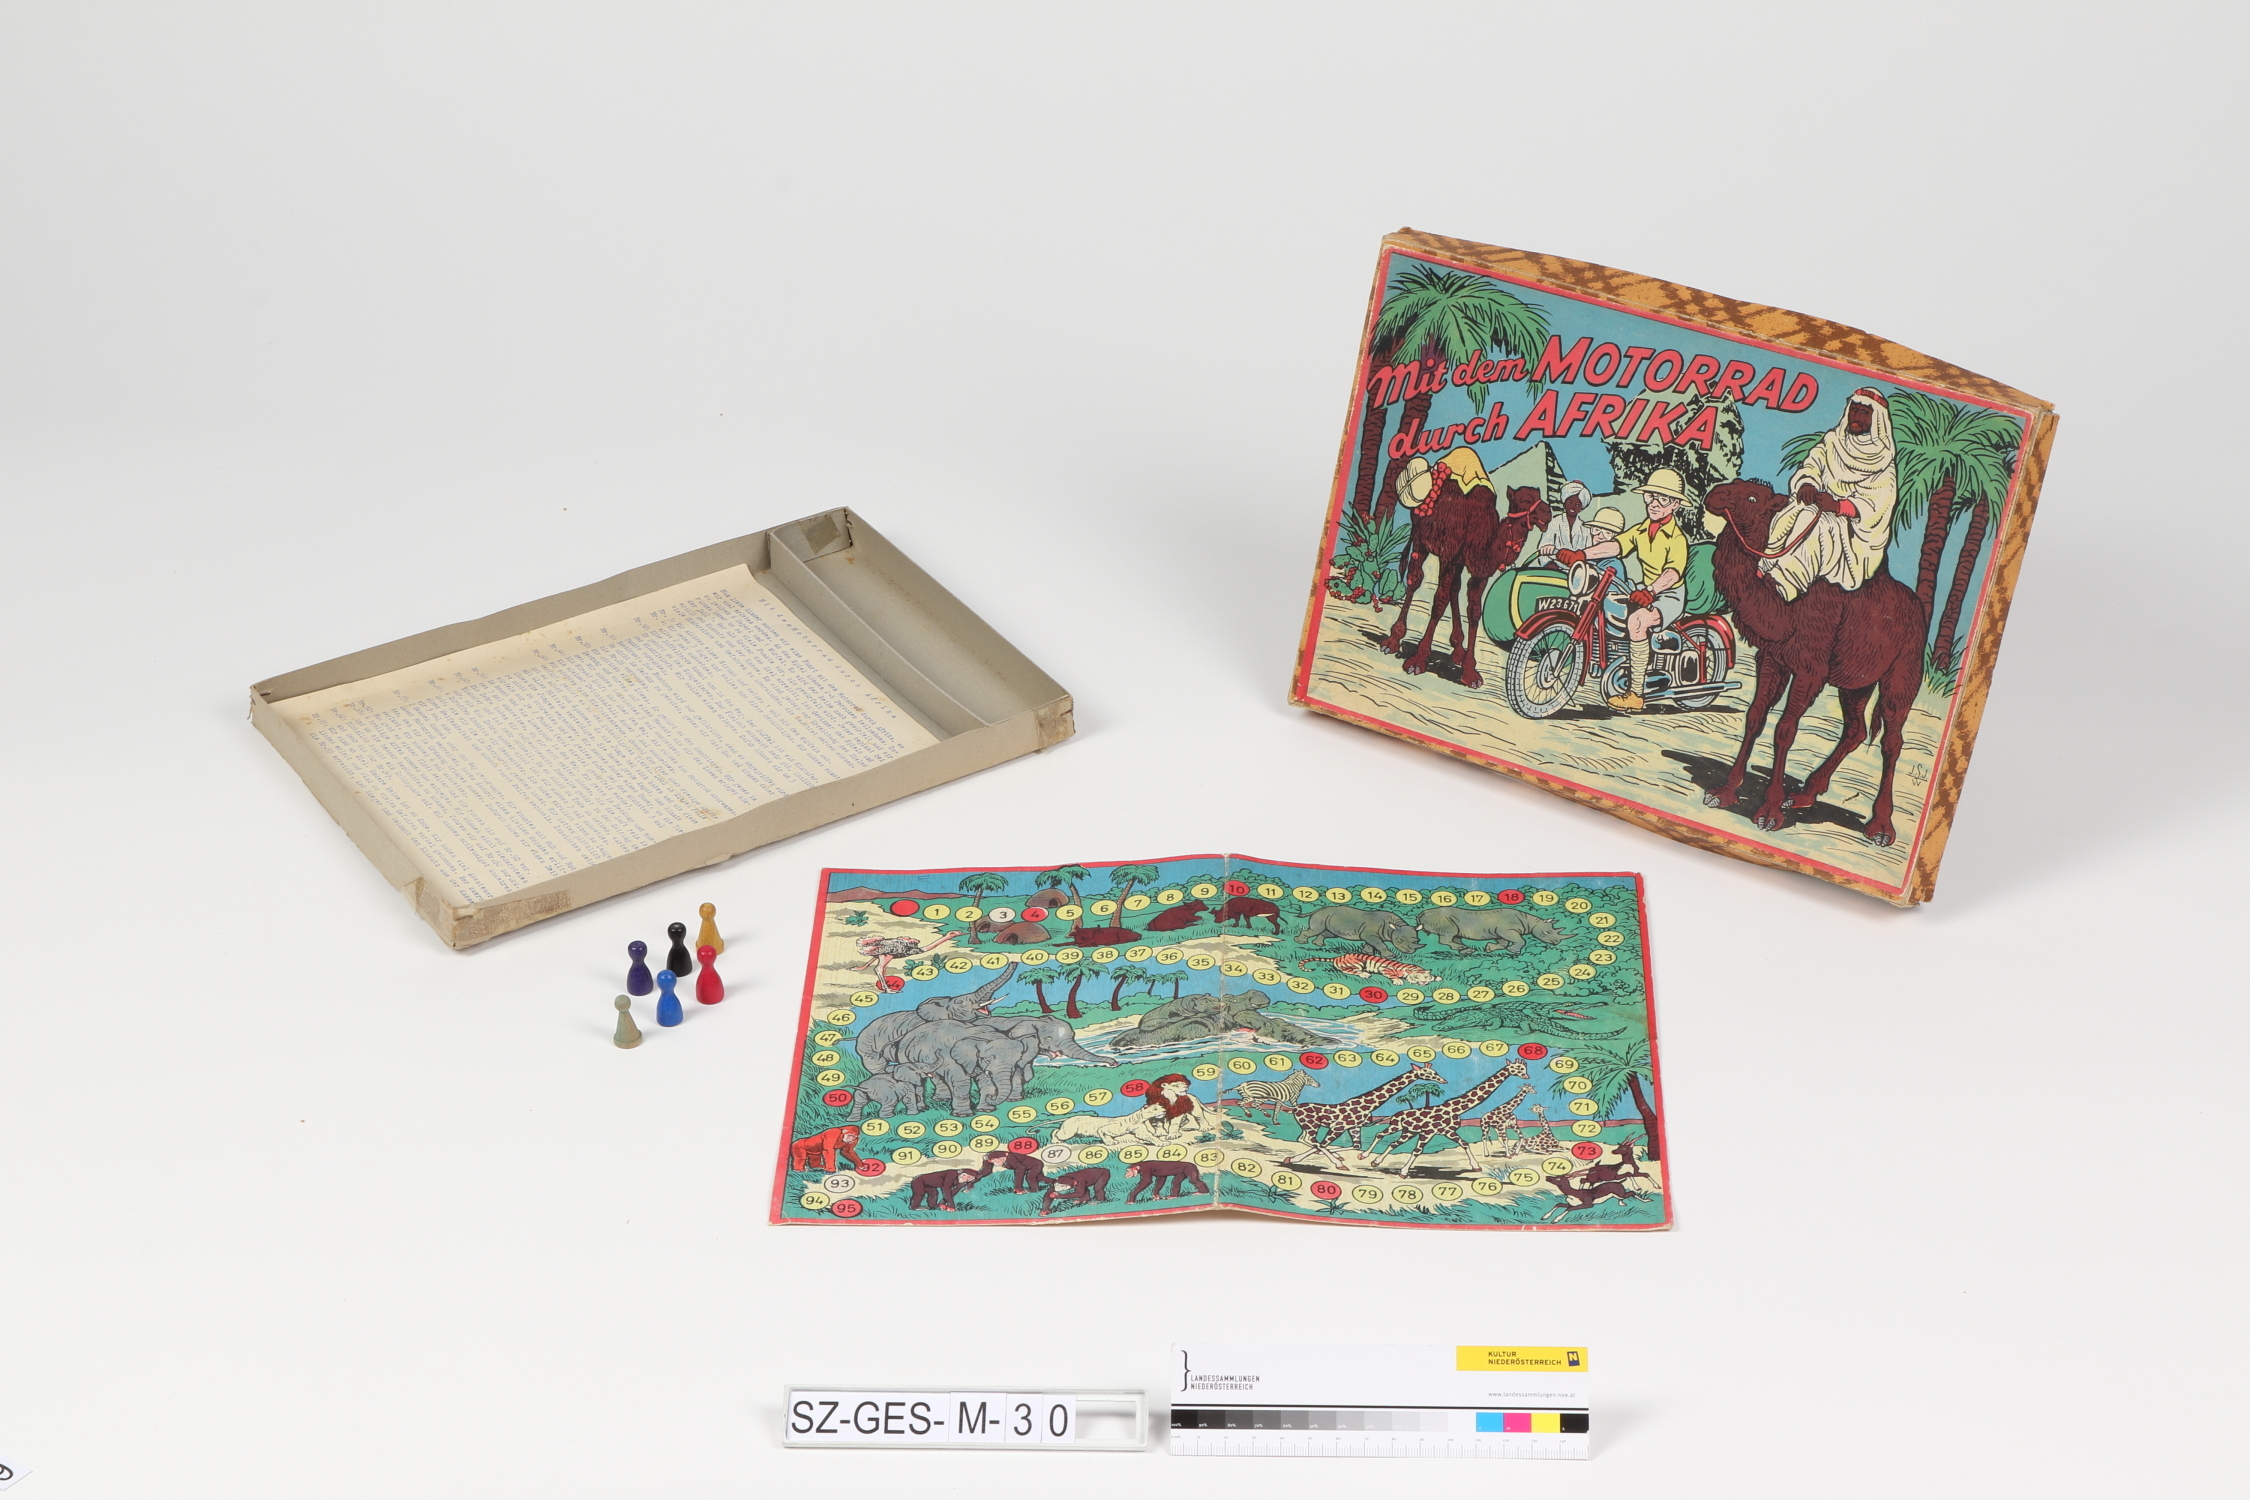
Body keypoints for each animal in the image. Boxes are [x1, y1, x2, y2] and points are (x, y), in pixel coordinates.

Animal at [1382, 472, 1552, 690]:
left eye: (1539, 497)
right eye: (1525, 500)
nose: (1548, 513)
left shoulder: (1478, 572)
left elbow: (1474, 611)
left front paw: (1470, 672)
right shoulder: (1449, 554)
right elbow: (1439, 602)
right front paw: (1417, 661)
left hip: (1456, 560)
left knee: (1454, 588)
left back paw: (1458, 650)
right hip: (1421, 537)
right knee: (1415, 579)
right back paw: (1393, 640)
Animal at [1699, 479, 1929, 846]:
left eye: (1752, 497)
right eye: (1734, 485)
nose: (1714, 495)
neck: (1785, 609)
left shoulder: (1811, 669)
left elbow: (1785, 729)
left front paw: (1769, 812)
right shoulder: (1773, 658)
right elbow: (1755, 717)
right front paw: (1723, 792)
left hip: (1904, 670)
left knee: (1892, 739)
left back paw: (1880, 828)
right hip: (1856, 681)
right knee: (1855, 728)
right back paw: (1804, 795)